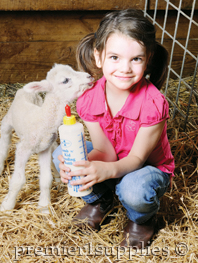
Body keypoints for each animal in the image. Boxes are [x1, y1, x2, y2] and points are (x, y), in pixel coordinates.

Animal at [0, 64, 93, 214]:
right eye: (65, 80)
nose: (89, 76)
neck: (42, 119)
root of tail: (23, 89)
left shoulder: (44, 149)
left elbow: (45, 179)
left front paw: (44, 207)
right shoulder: (23, 149)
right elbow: (18, 180)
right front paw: (7, 206)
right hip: (8, 120)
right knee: (5, 140)